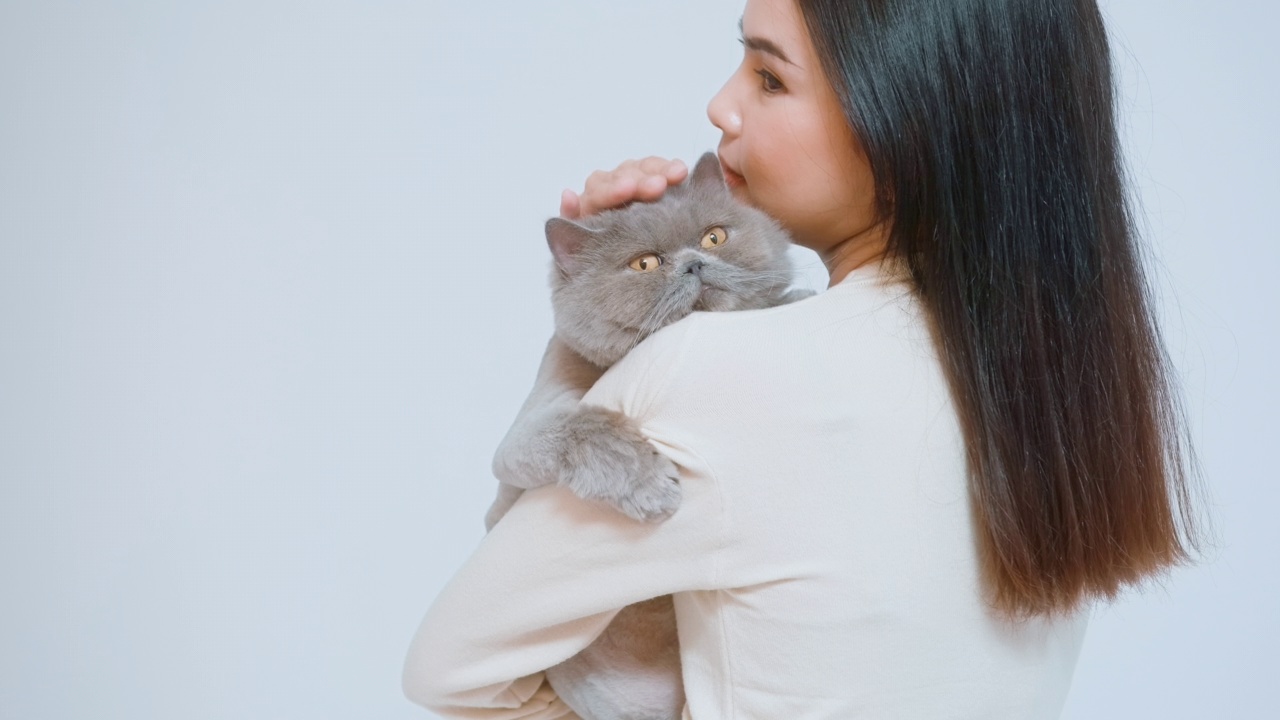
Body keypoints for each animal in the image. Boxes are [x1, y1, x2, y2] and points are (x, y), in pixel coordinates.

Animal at [483, 151, 814, 717]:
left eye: (713, 238)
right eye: (644, 265)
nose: (694, 263)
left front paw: (795, 296)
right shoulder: (524, 436)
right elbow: (587, 423)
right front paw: (650, 487)